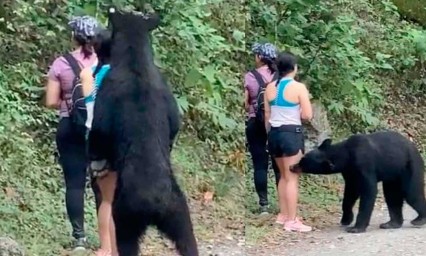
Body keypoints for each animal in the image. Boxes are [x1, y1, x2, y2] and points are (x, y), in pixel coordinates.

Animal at [87, 6, 200, 256]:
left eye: (109, 31)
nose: (99, 38)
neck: (135, 62)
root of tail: (154, 203)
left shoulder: (107, 95)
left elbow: (99, 132)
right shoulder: (167, 95)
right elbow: (174, 125)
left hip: (126, 214)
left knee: (125, 240)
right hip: (178, 209)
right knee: (188, 239)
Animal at [290, 131, 426, 233]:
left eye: (302, 163)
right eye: (302, 159)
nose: (291, 166)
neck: (346, 155)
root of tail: (415, 148)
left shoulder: (364, 165)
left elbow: (368, 190)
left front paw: (356, 228)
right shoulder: (349, 172)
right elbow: (350, 193)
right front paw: (346, 219)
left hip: (409, 166)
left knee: (412, 193)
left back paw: (419, 219)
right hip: (392, 175)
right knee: (392, 196)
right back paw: (391, 223)